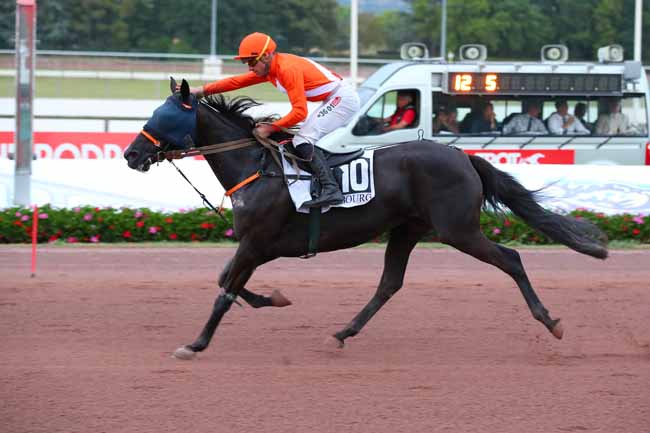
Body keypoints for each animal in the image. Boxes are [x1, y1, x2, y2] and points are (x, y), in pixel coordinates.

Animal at [124, 79, 608, 360]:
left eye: (163, 117)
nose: (130, 154)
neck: (256, 168)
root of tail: (462, 156)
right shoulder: (257, 248)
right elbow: (228, 281)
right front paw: (274, 299)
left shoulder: (256, 243)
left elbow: (225, 291)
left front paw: (196, 343)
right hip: (408, 229)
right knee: (390, 282)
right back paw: (342, 332)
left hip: (458, 229)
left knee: (511, 259)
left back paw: (551, 321)